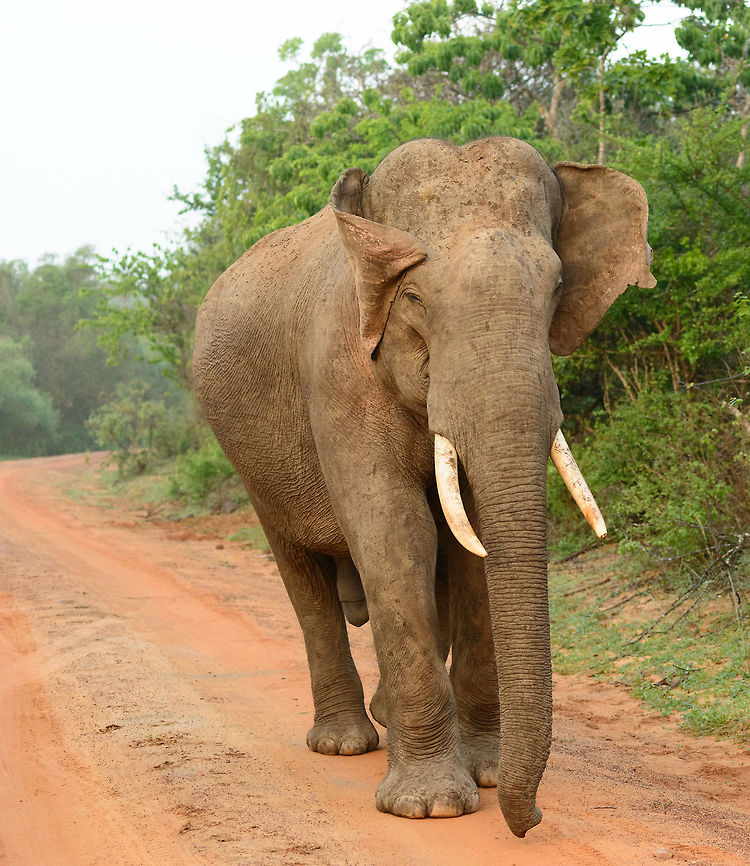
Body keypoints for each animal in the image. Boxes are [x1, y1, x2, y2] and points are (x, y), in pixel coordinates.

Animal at [193, 136, 655, 837]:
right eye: (412, 296)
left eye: (555, 288)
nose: (531, 820)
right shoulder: (338, 370)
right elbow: (394, 529)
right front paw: (431, 807)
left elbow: (473, 547)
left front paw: (485, 773)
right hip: (249, 455)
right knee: (302, 573)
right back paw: (344, 742)